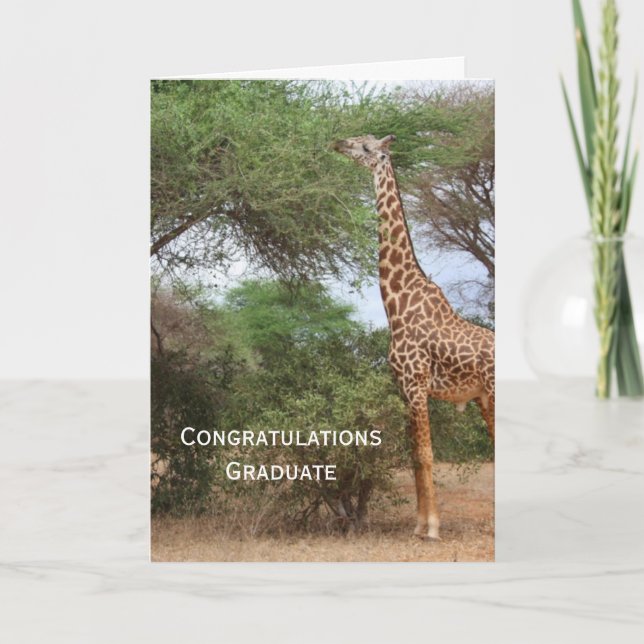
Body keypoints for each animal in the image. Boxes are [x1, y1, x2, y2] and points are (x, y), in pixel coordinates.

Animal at [333, 134, 494, 540]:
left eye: (366, 147)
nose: (338, 143)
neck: (397, 301)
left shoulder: (418, 384)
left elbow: (425, 454)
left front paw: (433, 528)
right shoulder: (404, 388)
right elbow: (413, 457)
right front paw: (420, 525)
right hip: (485, 397)